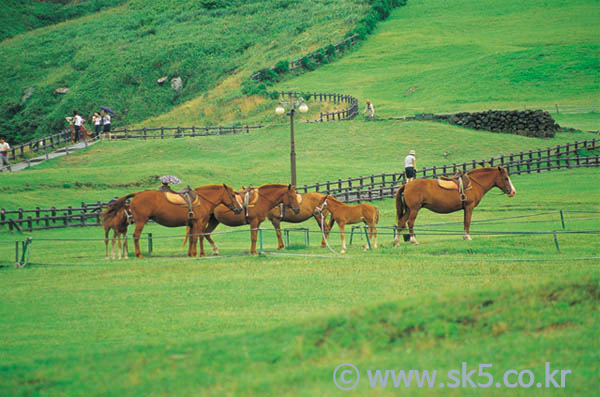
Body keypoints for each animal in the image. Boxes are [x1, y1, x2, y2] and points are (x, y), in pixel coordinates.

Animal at [110, 183, 241, 256]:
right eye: (233, 195)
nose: (239, 209)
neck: (202, 200)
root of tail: (137, 194)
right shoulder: (198, 223)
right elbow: (196, 238)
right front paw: (196, 254)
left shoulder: (192, 224)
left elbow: (192, 239)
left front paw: (191, 254)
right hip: (141, 222)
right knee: (136, 236)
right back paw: (139, 254)